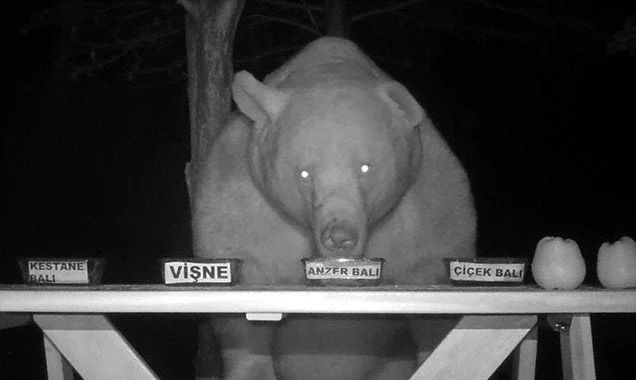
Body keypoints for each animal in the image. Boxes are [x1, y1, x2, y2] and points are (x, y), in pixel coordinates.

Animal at [191, 36, 474, 380]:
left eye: (365, 167)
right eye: (304, 173)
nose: (339, 236)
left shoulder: (427, 207)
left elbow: (433, 300)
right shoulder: (242, 202)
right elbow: (242, 314)